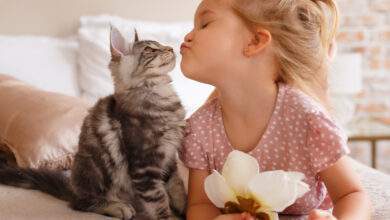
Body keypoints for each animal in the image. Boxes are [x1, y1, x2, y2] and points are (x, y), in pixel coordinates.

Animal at [0, 26, 187, 219]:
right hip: (94, 170)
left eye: (160, 44)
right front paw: (167, 215)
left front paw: (184, 209)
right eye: (150, 50)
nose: (171, 48)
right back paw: (117, 207)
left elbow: (177, 188)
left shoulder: (169, 158)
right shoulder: (145, 166)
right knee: (80, 203)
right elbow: (158, 201)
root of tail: (72, 188)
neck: (161, 94)